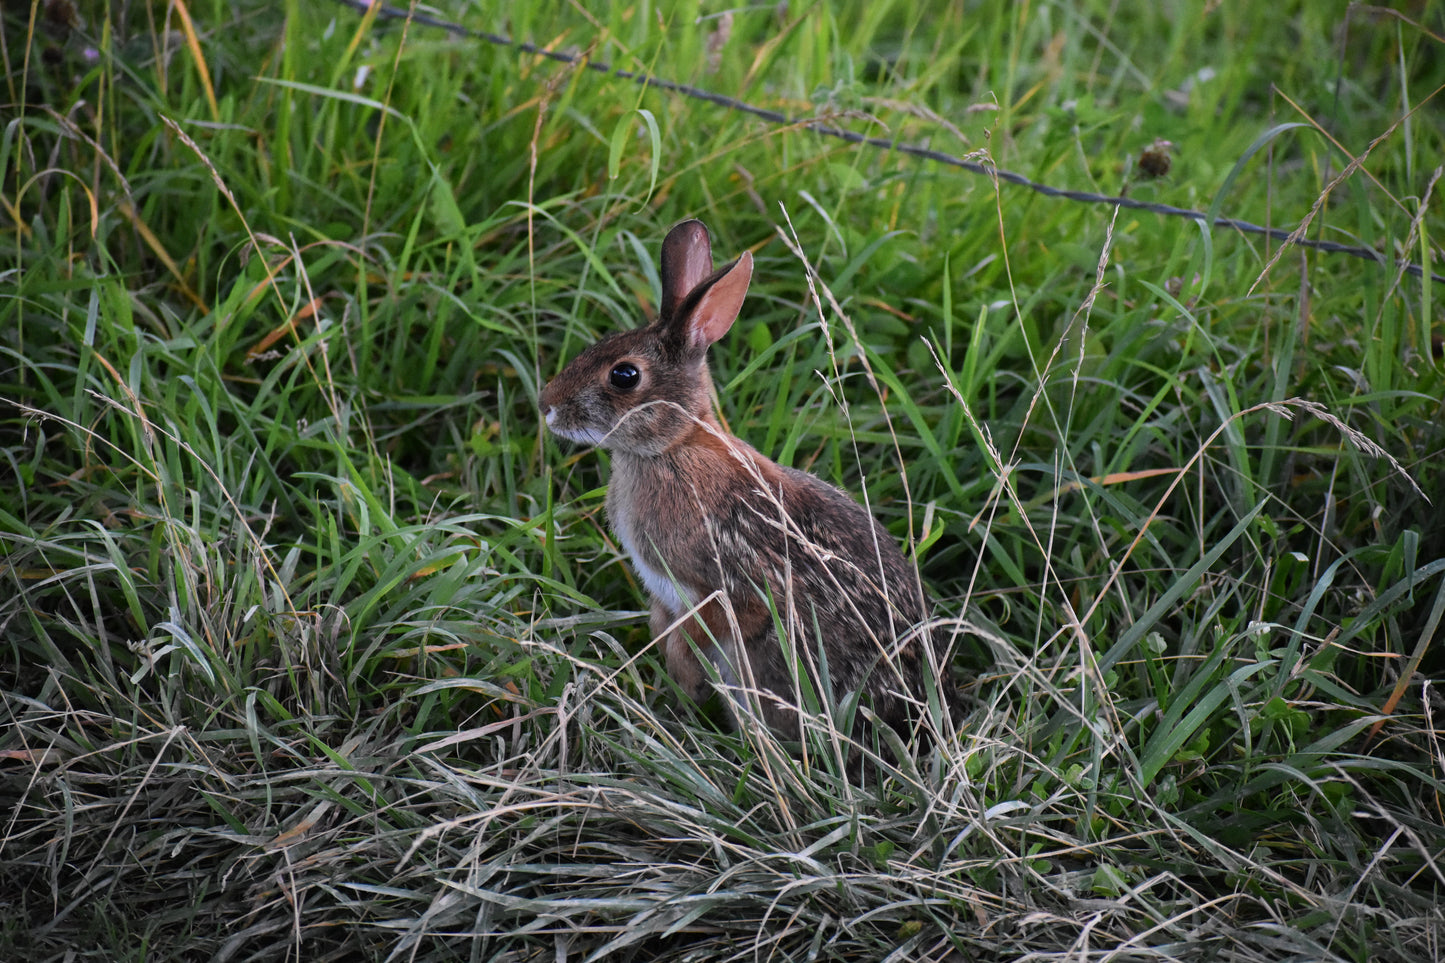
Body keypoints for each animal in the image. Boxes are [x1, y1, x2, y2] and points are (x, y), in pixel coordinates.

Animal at [537, 219, 953, 740]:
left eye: (625, 375)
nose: (546, 405)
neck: (672, 449)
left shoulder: (725, 589)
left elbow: (706, 627)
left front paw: (683, 683)